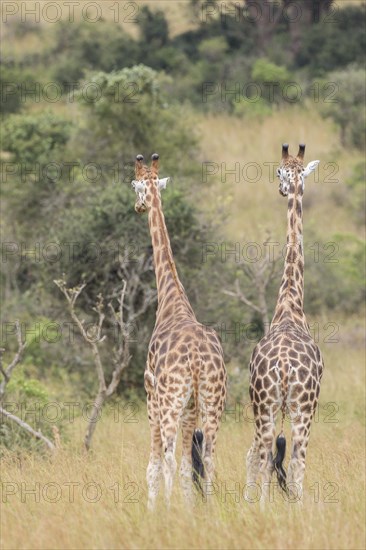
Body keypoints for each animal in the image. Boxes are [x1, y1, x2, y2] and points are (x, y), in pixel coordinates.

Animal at [133, 153, 227, 512]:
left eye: (135, 185)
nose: (137, 206)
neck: (171, 298)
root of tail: (198, 360)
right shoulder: (190, 407)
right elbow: (190, 464)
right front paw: (188, 510)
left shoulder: (152, 394)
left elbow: (155, 463)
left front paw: (155, 510)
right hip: (213, 401)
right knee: (210, 456)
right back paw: (210, 510)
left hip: (172, 400)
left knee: (170, 457)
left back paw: (169, 510)